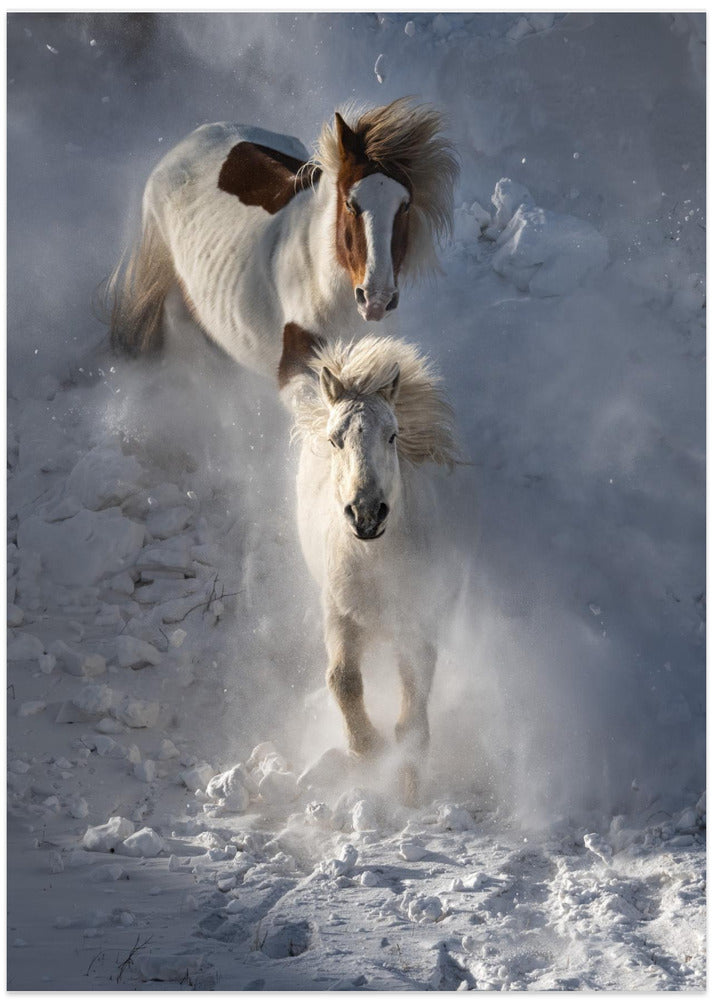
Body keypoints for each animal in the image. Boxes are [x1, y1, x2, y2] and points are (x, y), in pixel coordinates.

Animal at [107, 98, 458, 385]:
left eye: (406, 205)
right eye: (350, 204)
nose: (376, 299)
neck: (323, 287)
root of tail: (193, 137)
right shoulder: (301, 374)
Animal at [282, 332, 460, 805]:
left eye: (392, 435)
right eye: (335, 439)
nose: (366, 514)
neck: (377, 566)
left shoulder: (417, 623)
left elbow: (413, 701)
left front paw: (409, 785)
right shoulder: (339, 614)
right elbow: (342, 680)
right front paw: (369, 749)